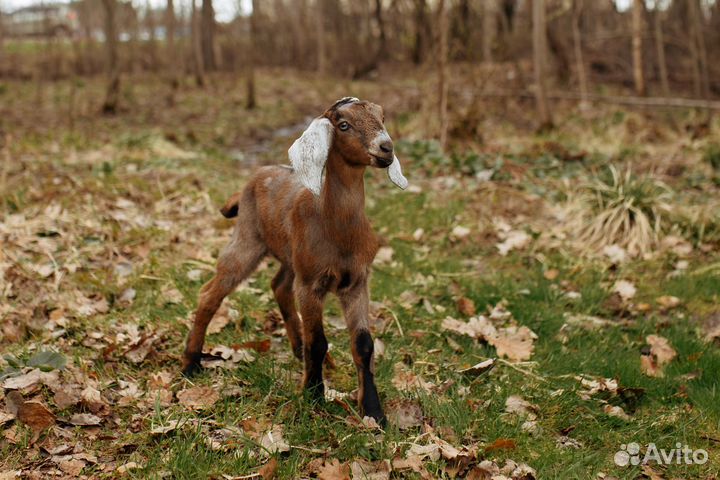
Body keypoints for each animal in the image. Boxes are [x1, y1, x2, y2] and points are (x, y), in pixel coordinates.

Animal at [182, 97, 408, 423]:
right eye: (343, 125)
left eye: (382, 117)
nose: (386, 147)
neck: (335, 228)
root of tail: (252, 179)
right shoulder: (311, 283)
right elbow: (318, 341)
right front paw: (313, 395)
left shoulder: (356, 281)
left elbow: (364, 345)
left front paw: (374, 412)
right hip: (248, 239)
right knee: (210, 293)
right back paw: (190, 363)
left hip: (292, 258)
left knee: (278, 286)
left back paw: (298, 349)